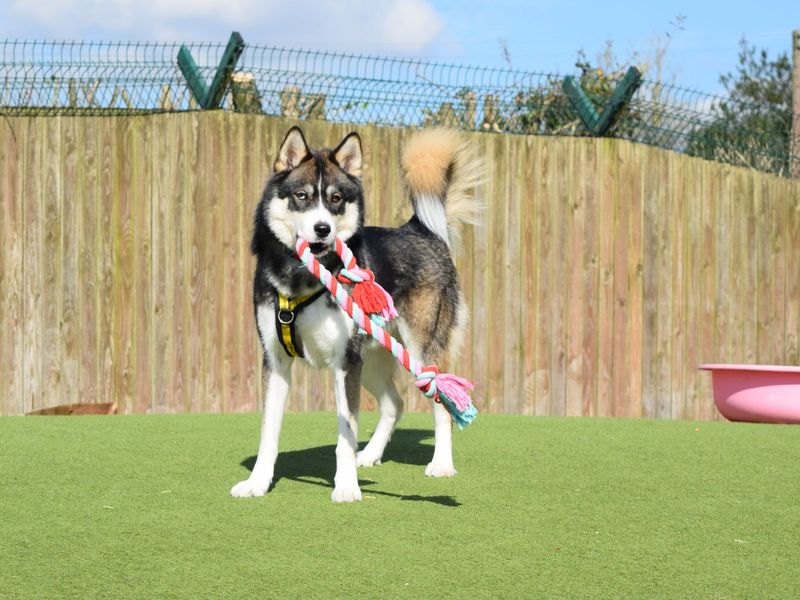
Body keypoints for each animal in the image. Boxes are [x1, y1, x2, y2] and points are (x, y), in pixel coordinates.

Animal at [231, 126, 482, 502]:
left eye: (336, 199)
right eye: (302, 196)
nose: (323, 229)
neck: (302, 277)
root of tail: (419, 229)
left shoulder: (344, 362)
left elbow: (345, 432)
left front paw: (346, 486)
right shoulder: (275, 361)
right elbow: (268, 432)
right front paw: (257, 483)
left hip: (417, 352)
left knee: (440, 400)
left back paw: (441, 465)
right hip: (372, 355)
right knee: (394, 403)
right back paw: (371, 455)